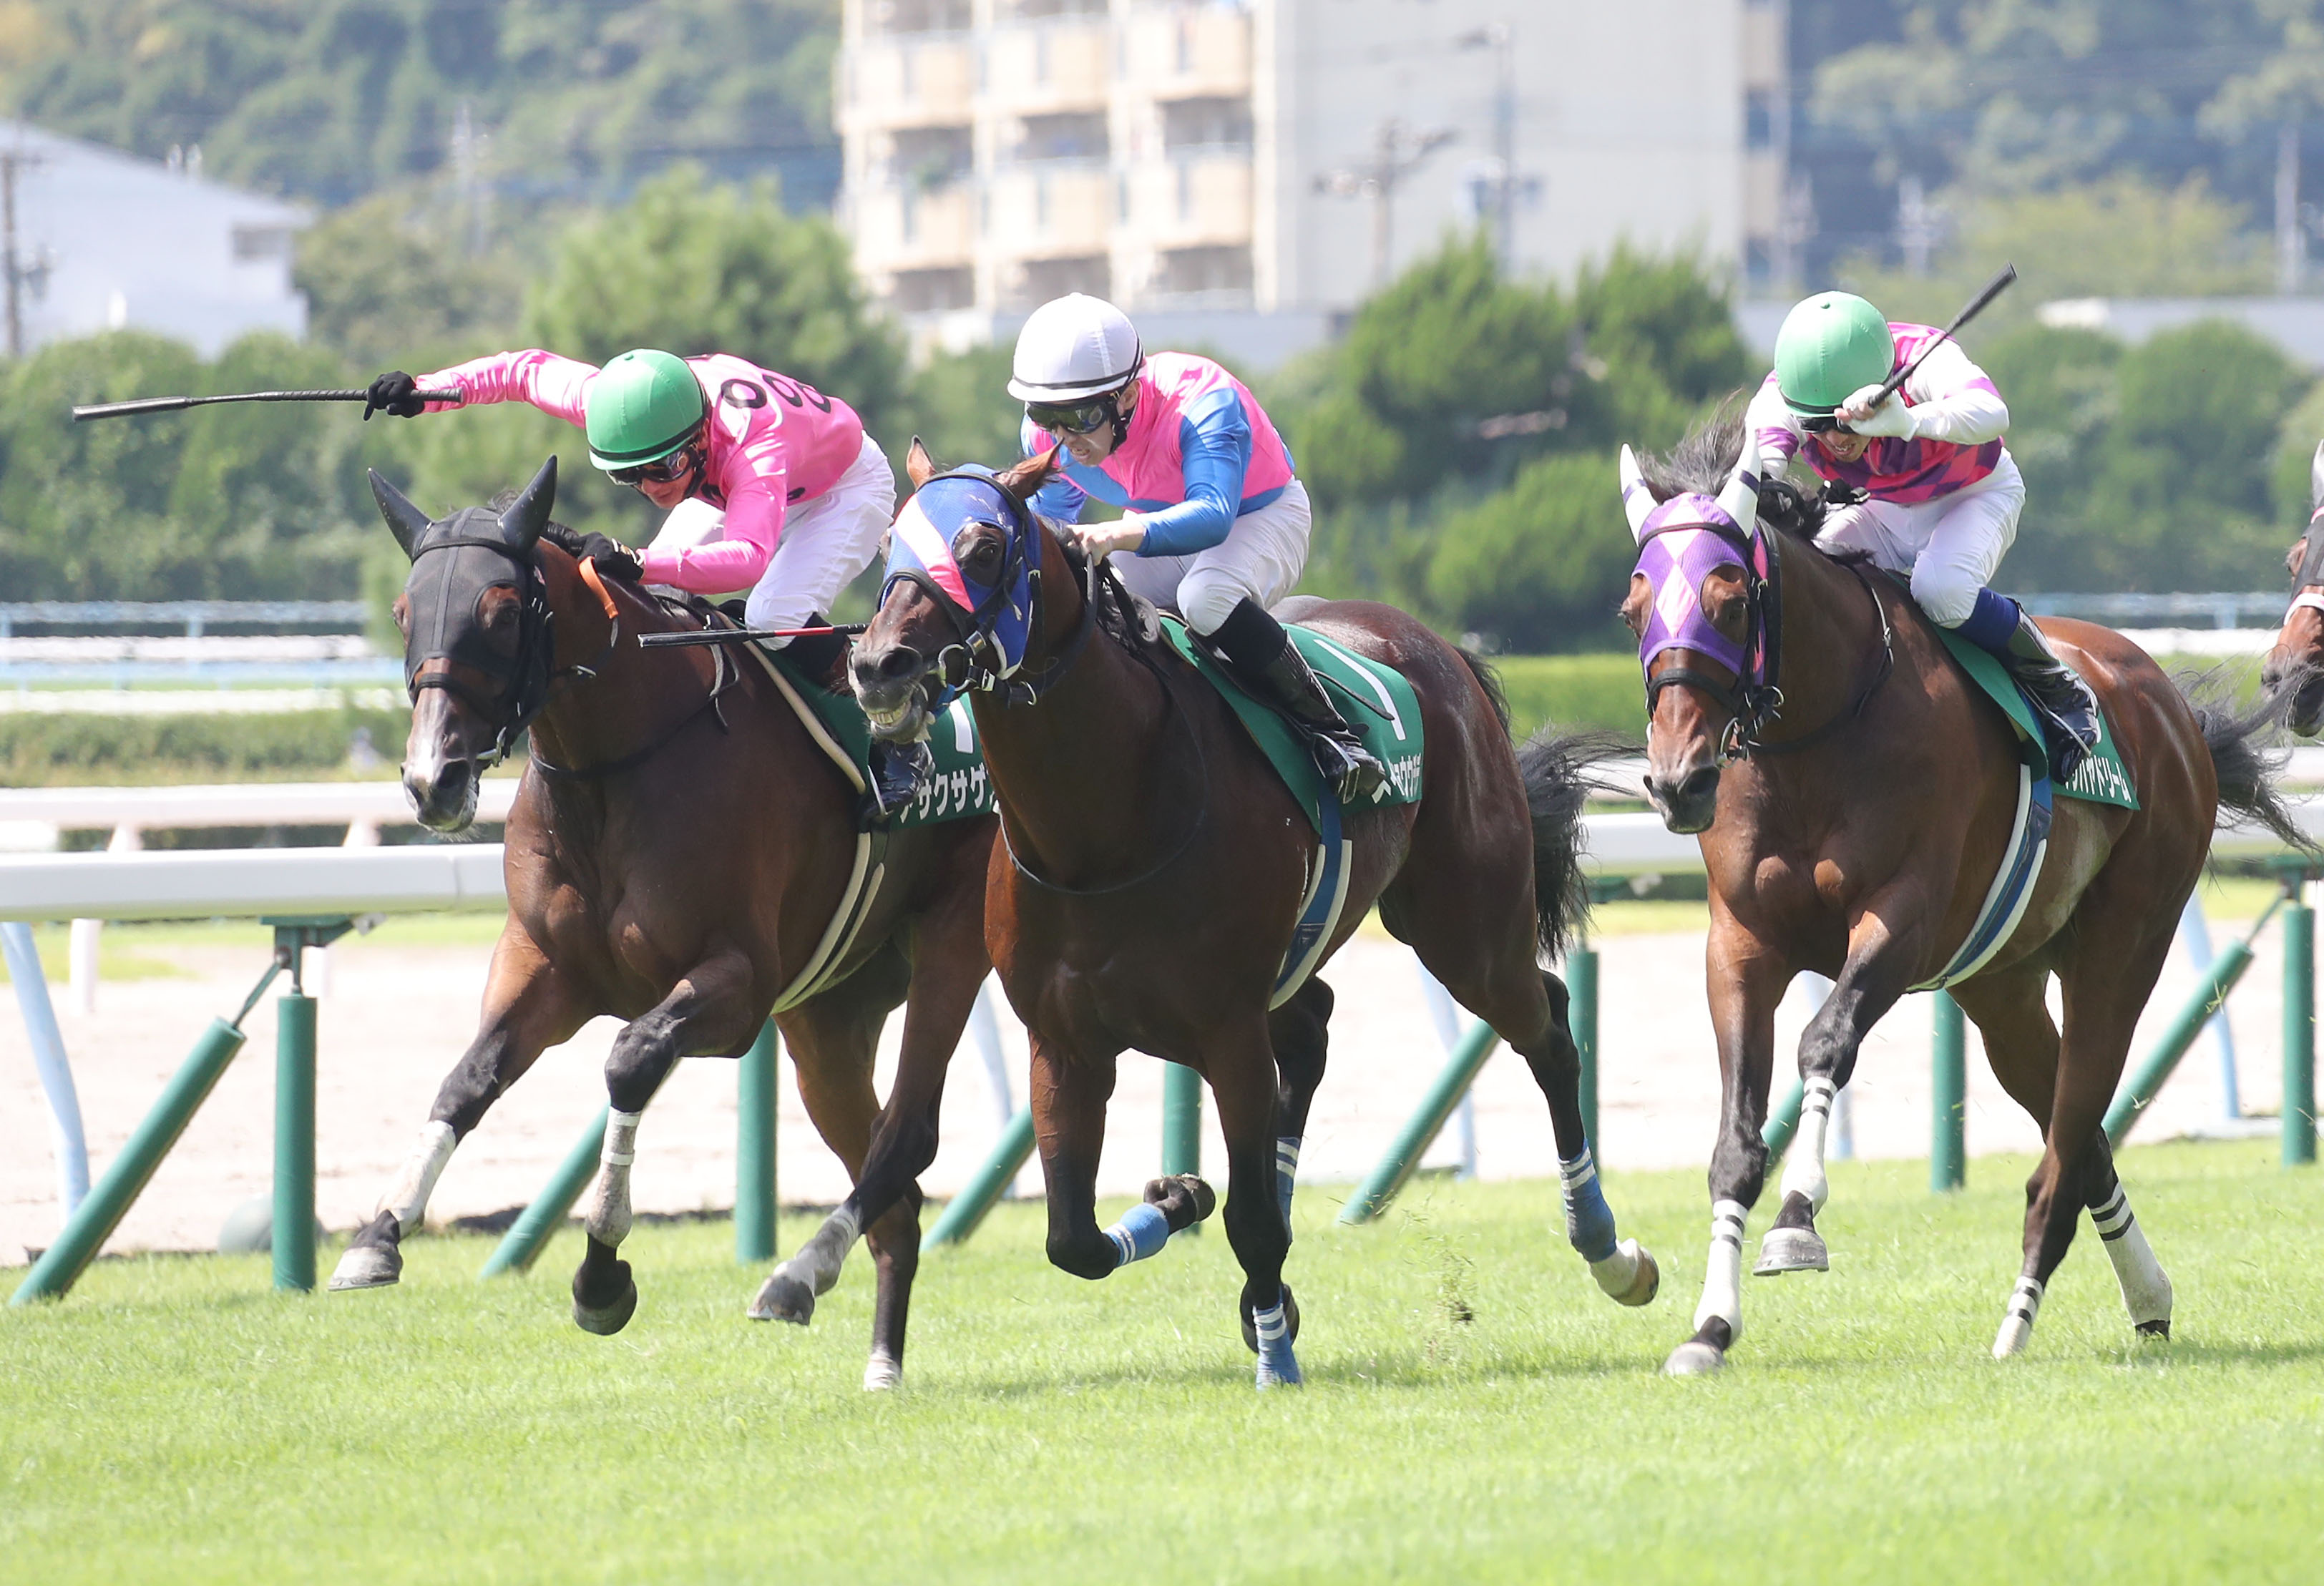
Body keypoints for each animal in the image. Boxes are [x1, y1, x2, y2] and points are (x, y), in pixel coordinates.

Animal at [328, 457, 999, 1392]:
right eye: (403, 611)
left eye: (500, 611)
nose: (434, 781)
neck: (618, 763)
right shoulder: (543, 965)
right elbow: (469, 1078)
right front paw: (378, 1235)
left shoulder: (736, 986)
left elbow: (630, 1060)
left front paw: (601, 1273)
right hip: (827, 1020)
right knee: (891, 1200)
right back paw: (879, 1362)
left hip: (950, 943)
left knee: (909, 1138)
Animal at [834, 440, 1658, 1389]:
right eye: (890, 544)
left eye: (981, 547)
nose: (877, 665)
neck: (1102, 827)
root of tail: (1437, 647)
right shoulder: (1064, 1040)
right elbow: (1073, 1240)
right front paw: (1177, 1199)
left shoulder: (1225, 1027)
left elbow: (1249, 1219)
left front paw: (1274, 1362)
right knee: (1314, 1032)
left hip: (1466, 931)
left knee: (1547, 1029)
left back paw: (1608, 1250)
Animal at [1618, 414, 2303, 1373]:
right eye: (1634, 608)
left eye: (1728, 600)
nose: (1678, 782)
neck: (1818, 732)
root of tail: (2168, 707)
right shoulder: (1741, 945)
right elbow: (1733, 1145)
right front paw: (1707, 1329)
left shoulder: (1900, 919)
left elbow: (1824, 1043)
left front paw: (1797, 1219)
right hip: (2000, 987)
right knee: (2080, 1137)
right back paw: (2146, 1297)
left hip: (2121, 949)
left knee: (2066, 1142)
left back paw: (2017, 1319)